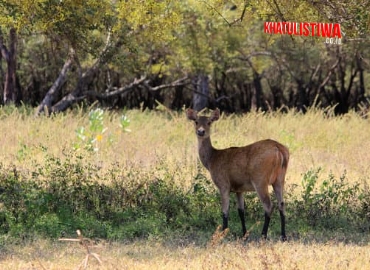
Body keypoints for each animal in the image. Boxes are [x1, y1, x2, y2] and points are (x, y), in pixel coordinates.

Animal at [188, 107, 290, 240]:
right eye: (196, 121)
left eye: (209, 122)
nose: (201, 131)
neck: (212, 160)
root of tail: (279, 150)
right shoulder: (239, 189)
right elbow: (241, 211)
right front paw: (244, 234)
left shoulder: (223, 184)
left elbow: (225, 211)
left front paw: (223, 233)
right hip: (280, 179)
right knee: (282, 204)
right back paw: (283, 236)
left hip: (260, 179)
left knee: (269, 206)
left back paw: (263, 235)